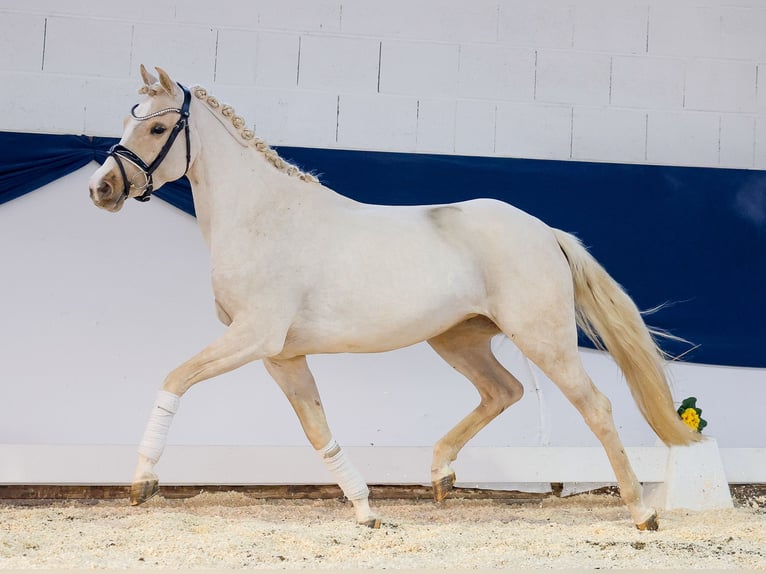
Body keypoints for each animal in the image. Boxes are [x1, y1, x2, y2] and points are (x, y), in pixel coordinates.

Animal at [90, 66, 704, 532]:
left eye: (159, 126)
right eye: (127, 119)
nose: (102, 189)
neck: (264, 216)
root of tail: (546, 232)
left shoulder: (253, 337)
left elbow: (174, 378)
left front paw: (142, 484)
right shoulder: (281, 354)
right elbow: (317, 429)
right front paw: (366, 511)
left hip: (543, 338)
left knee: (594, 406)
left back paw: (642, 514)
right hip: (458, 340)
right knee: (502, 391)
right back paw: (441, 476)